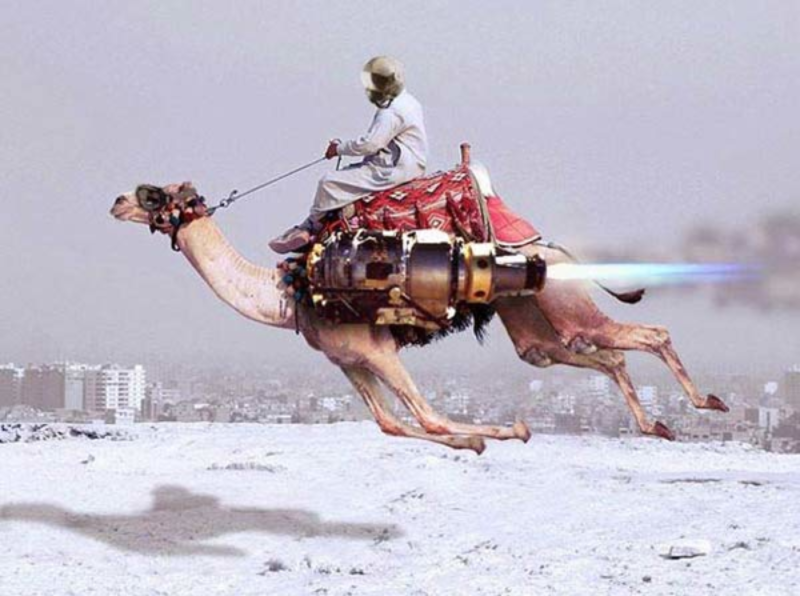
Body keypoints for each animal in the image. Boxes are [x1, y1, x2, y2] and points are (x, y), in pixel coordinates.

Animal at [110, 177, 728, 455]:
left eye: (153, 194)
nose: (115, 200)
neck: (289, 292)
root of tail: (552, 251)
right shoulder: (348, 360)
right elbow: (390, 423)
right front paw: (494, 434)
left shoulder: (377, 347)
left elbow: (428, 418)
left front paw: (497, 434)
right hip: (532, 320)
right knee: (591, 353)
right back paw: (656, 424)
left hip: (562, 300)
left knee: (646, 333)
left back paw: (707, 403)